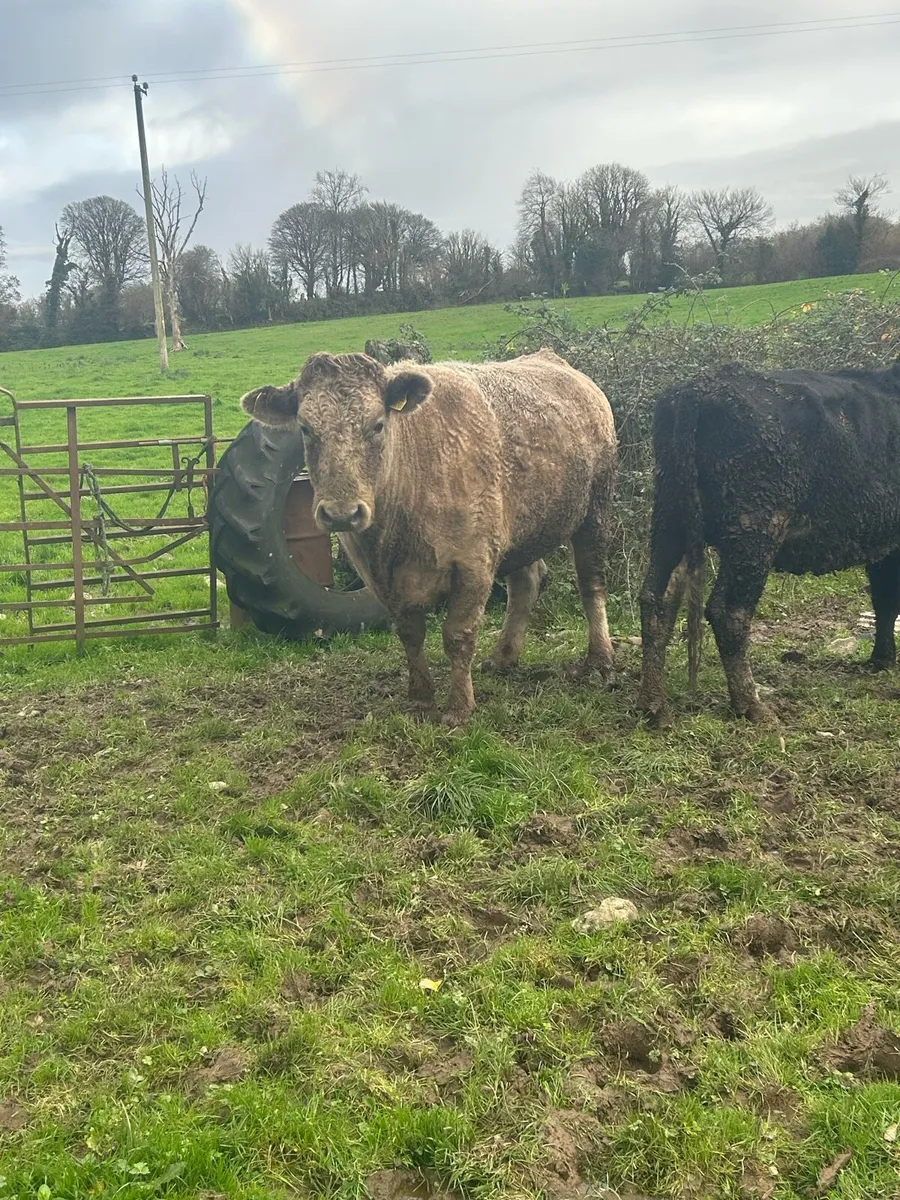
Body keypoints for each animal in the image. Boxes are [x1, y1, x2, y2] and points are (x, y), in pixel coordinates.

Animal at [240, 349, 618, 726]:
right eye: (305, 428)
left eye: (378, 424)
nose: (341, 513)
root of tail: (553, 360)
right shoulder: (380, 577)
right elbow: (410, 633)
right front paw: (421, 698)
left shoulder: (474, 562)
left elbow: (457, 635)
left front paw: (459, 707)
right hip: (522, 530)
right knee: (527, 583)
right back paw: (504, 656)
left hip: (594, 511)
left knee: (591, 584)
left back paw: (599, 659)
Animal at [639, 360, 900, 726]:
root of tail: (700, 389)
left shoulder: (883, 543)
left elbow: (884, 601)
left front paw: (880, 660)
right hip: (756, 533)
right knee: (729, 612)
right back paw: (752, 706)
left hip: (669, 522)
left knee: (654, 601)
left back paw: (654, 706)